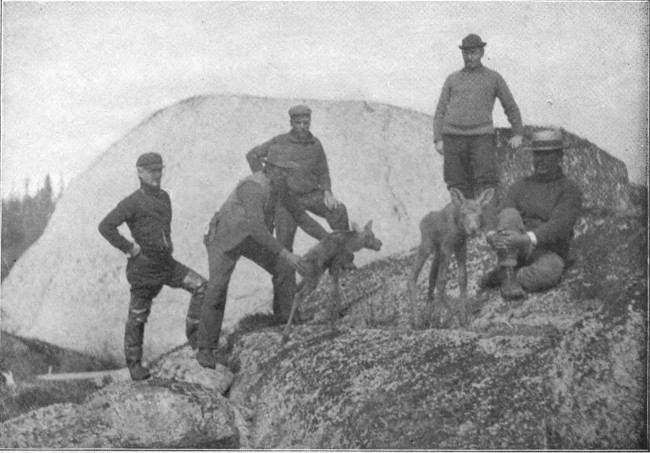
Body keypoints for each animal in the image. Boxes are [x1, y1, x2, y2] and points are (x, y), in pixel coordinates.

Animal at [408, 187, 494, 328]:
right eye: (463, 213)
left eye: (480, 213)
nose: (473, 230)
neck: (459, 230)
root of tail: (422, 221)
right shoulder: (447, 248)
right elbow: (442, 280)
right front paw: (437, 319)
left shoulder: (461, 247)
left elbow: (463, 278)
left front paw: (463, 319)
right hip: (426, 246)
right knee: (412, 276)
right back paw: (417, 321)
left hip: (437, 253)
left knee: (431, 279)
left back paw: (427, 317)